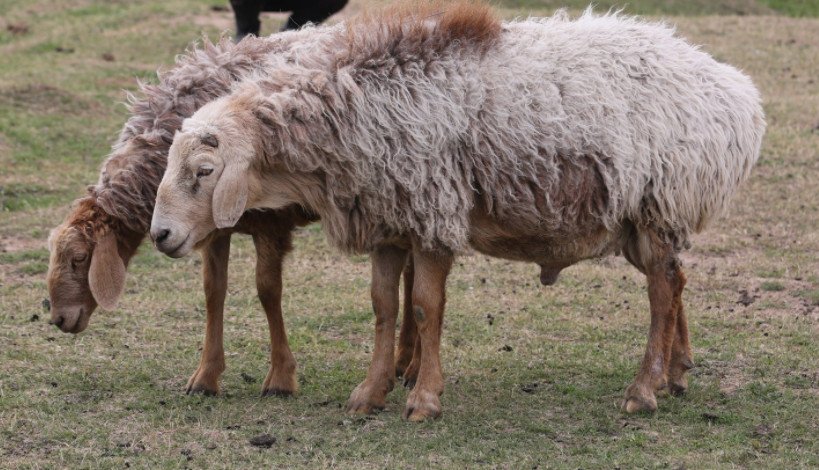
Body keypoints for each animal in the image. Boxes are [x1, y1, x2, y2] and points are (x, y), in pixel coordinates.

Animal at [45, 28, 416, 404]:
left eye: (79, 258)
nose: (58, 318)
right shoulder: (209, 229)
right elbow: (213, 291)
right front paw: (206, 376)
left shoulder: (271, 223)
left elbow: (267, 291)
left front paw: (280, 378)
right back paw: (404, 362)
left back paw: (410, 367)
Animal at [152, 2, 768, 422]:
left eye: (204, 171)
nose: (160, 234)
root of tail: (737, 92)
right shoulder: (388, 219)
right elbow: (382, 308)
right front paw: (369, 394)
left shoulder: (432, 214)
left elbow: (426, 308)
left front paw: (424, 399)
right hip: (638, 221)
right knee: (676, 280)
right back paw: (674, 376)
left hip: (659, 202)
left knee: (662, 292)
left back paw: (643, 391)